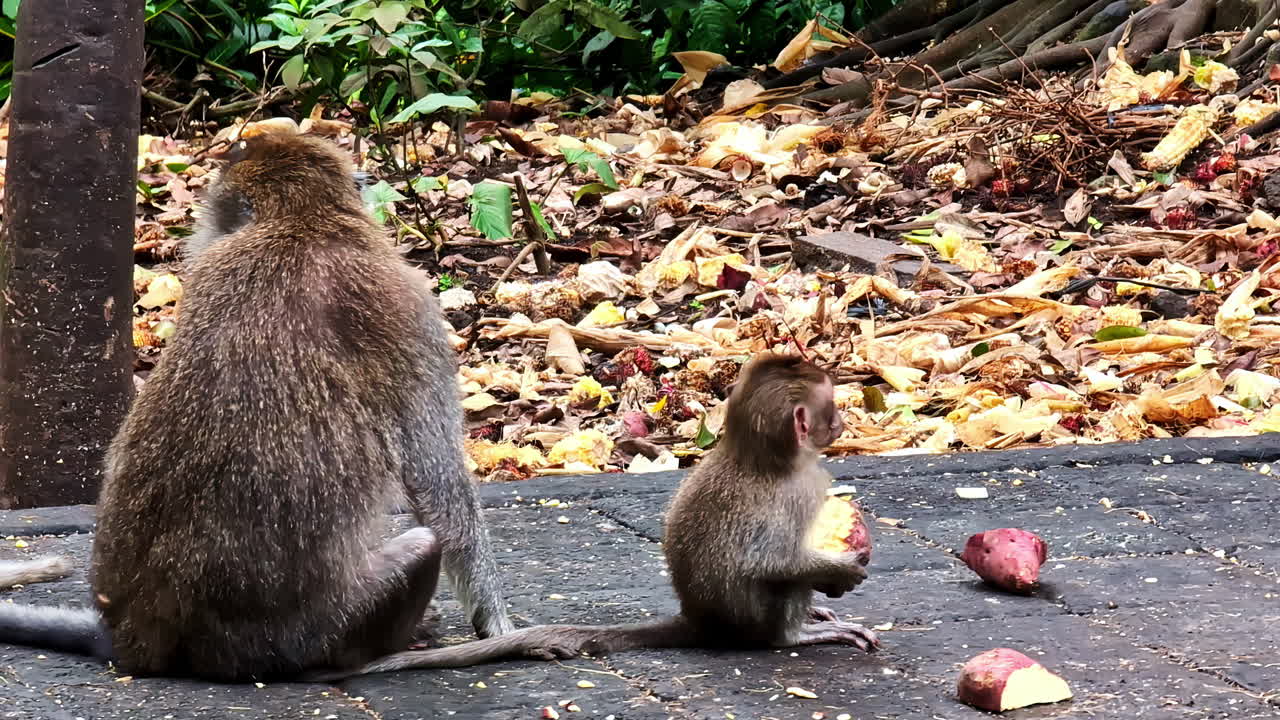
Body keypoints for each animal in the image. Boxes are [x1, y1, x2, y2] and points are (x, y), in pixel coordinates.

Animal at [0, 132, 600, 680]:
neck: (303, 220)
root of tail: (137, 640)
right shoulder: (412, 307)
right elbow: (438, 480)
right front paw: (496, 623)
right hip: (317, 631)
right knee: (423, 543)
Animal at [304, 353, 880, 681]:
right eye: (830, 409)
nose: (842, 423)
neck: (762, 455)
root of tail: (703, 620)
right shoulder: (799, 491)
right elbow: (768, 564)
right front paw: (840, 572)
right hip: (753, 623)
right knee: (776, 599)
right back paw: (795, 636)